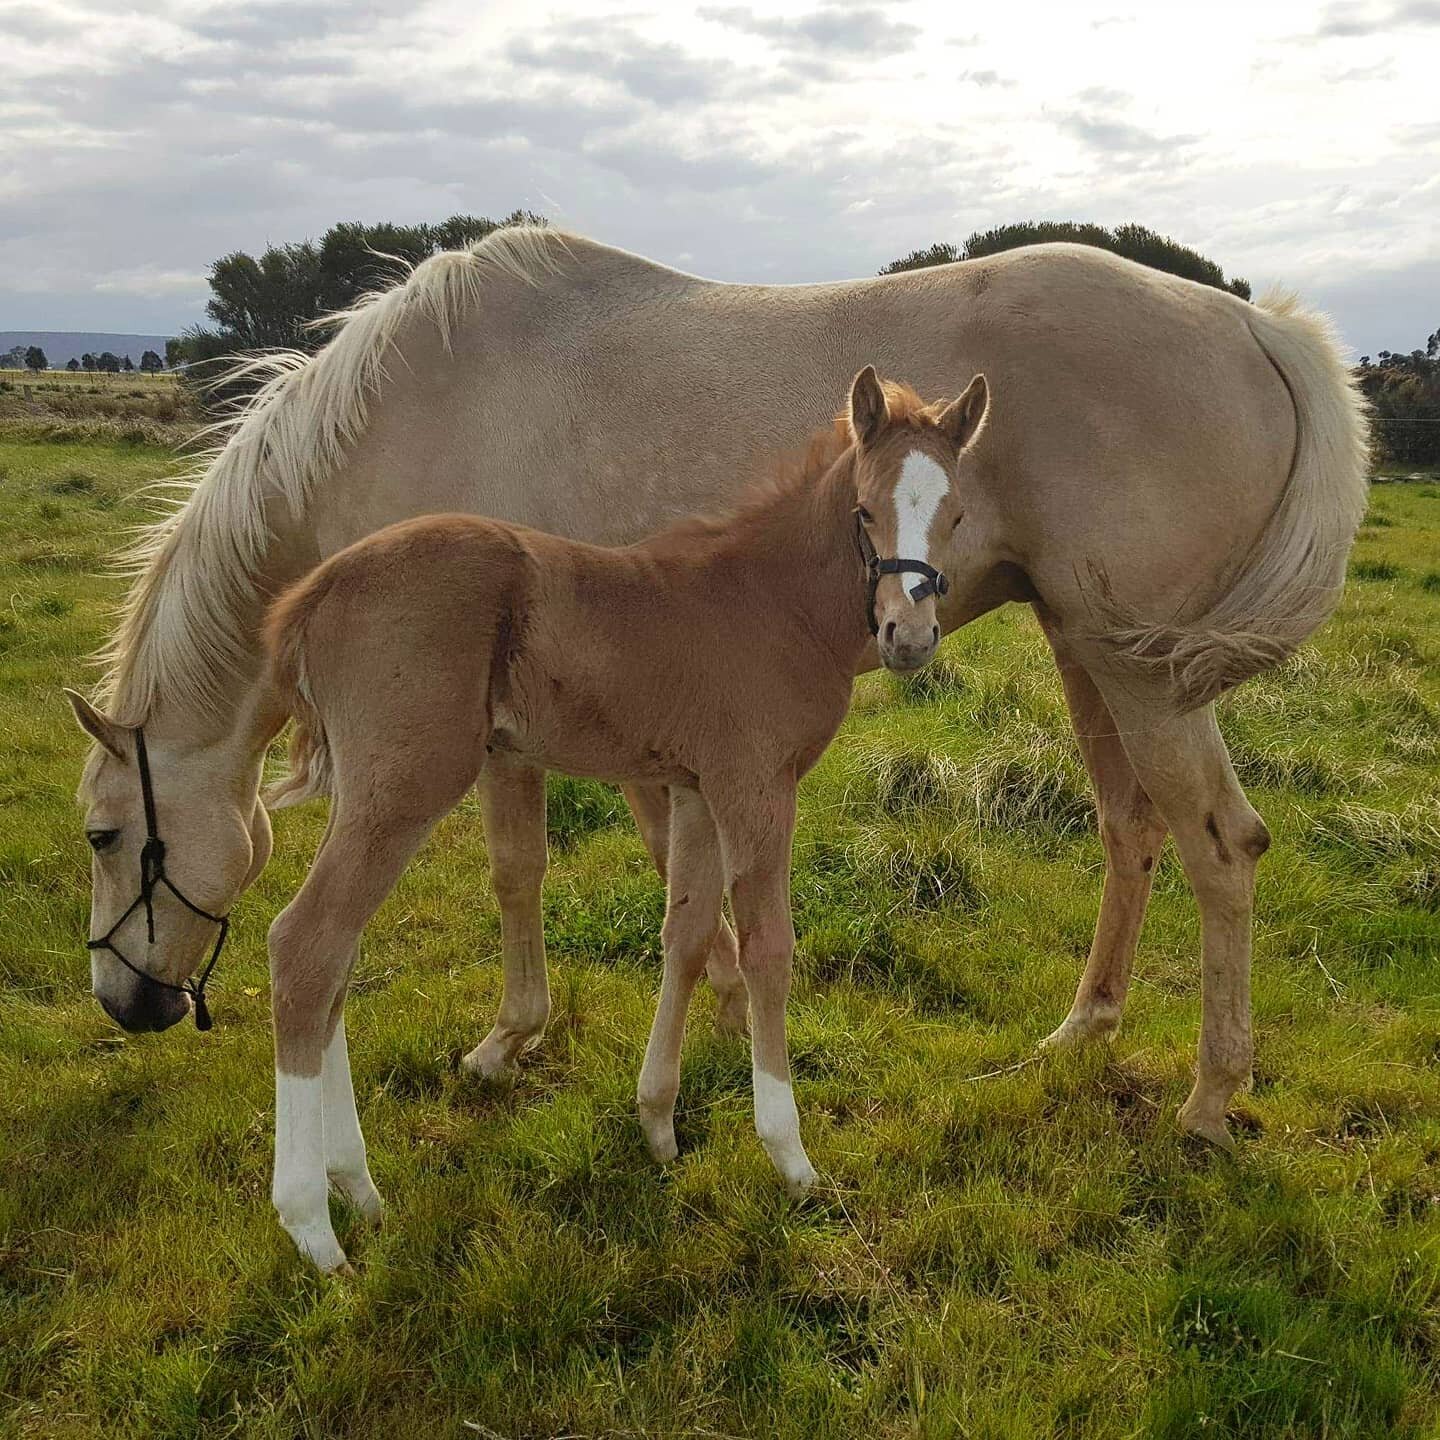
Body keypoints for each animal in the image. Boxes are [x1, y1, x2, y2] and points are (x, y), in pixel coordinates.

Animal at [262, 365, 990, 1267]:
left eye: (955, 513)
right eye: (864, 509)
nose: (909, 636)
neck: (768, 602)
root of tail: (314, 591)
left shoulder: (696, 789)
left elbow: (686, 934)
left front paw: (657, 1119)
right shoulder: (757, 786)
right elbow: (769, 947)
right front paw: (788, 1152)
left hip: (378, 795)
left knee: (336, 958)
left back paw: (356, 1189)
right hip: (404, 784)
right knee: (307, 945)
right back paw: (311, 1224)